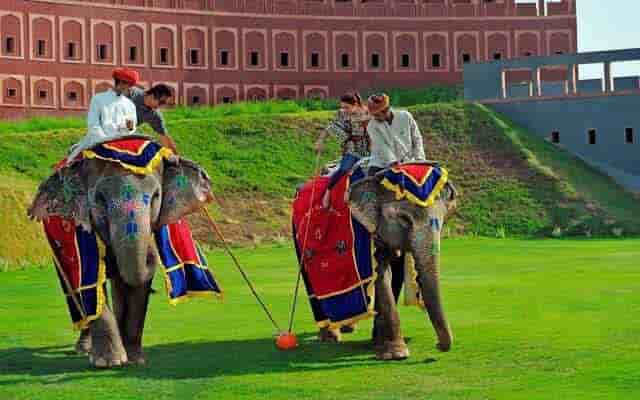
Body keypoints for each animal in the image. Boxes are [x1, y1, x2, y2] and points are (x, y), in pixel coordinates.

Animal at [28, 138, 218, 368]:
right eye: (100, 198)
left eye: (156, 196)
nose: (151, 254)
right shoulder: (81, 230)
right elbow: (91, 284)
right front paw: (109, 362)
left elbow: (137, 288)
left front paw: (135, 360)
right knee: (73, 287)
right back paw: (84, 348)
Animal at [342, 167, 458, 360]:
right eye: (404, 219)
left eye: (443, 220)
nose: (438, 346)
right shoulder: (370, 228)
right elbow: (381, 272)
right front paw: (397, 353)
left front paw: (383, 346)